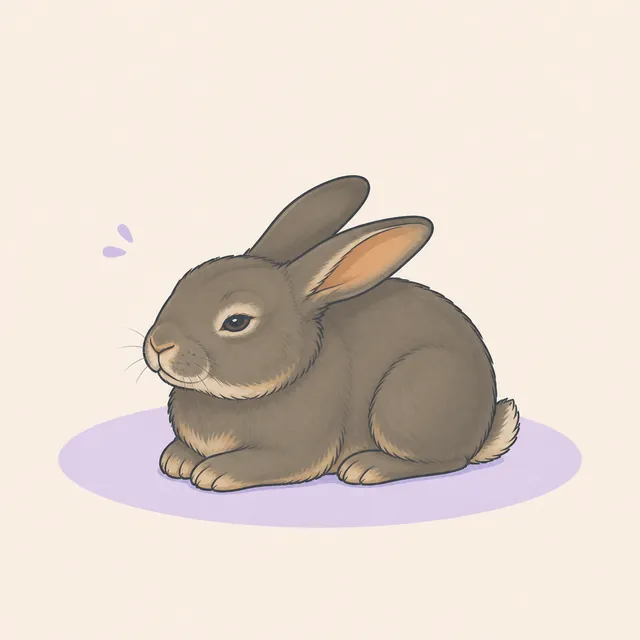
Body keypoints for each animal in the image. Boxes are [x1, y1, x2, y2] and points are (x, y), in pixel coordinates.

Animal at [143, 175, 520, 492]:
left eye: (236, 322)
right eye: (183, 284)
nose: (159, 345)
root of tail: (483, 428)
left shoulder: (299, 449)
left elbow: (267, 462)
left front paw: (213, 472)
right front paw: (177, 459)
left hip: (412, 394)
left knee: (447, 461)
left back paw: (367, 467)